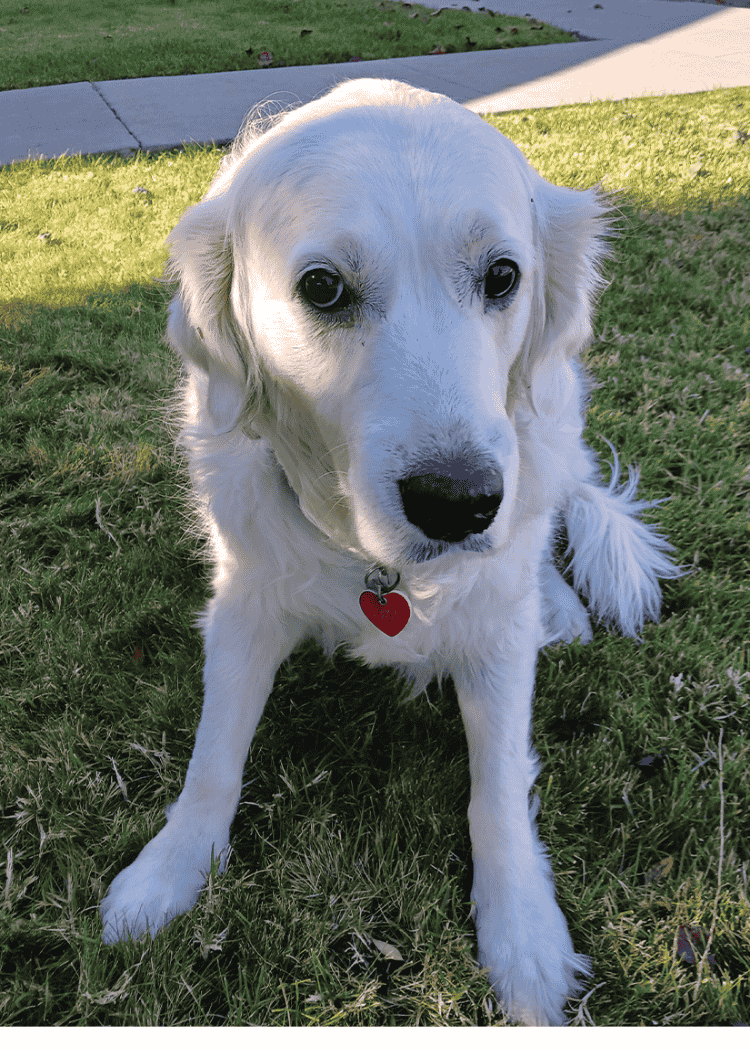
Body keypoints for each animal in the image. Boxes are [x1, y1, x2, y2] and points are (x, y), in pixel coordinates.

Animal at [100, 78, 682, 1025]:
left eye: (503, 276)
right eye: (323, 287)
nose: (461, 503)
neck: (383, 566)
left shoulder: (493, 635)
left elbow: (497, 790)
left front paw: (523, 934)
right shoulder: (246, 604)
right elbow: (214, 758)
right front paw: (168, 874)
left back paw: (557, 605)